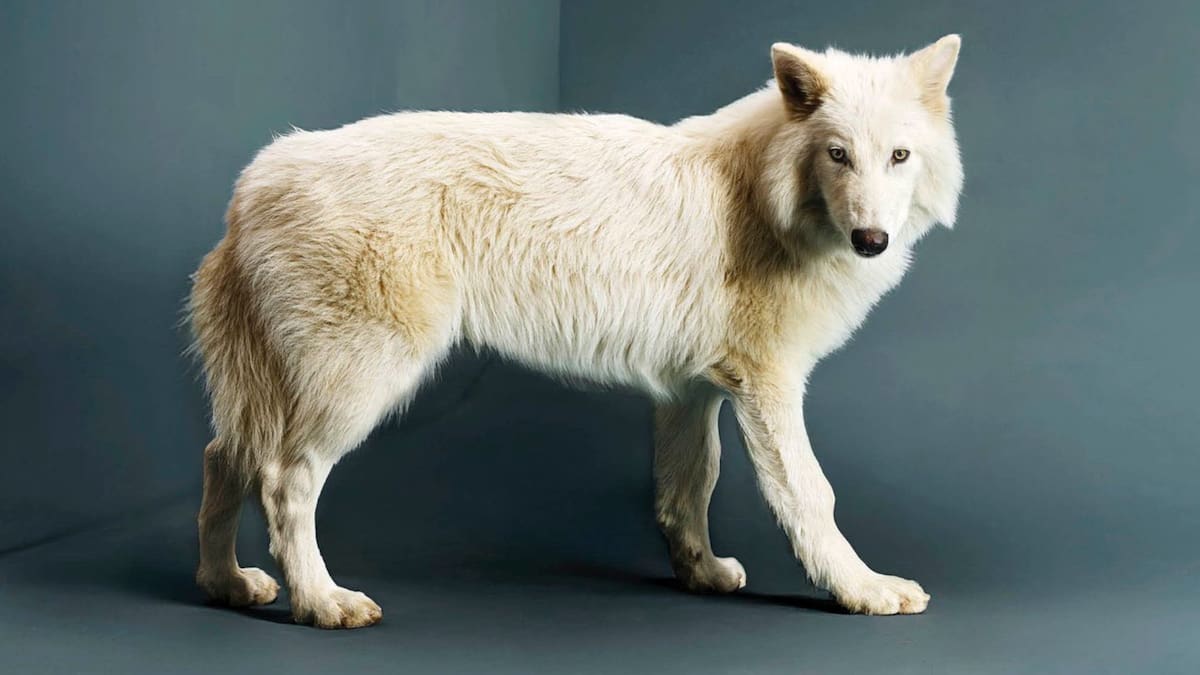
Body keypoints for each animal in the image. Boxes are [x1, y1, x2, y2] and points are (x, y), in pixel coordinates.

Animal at [189, 35, 963, 628]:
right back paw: (322, 602)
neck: (763, 197)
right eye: (837, 154)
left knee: (222, 457)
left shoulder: (691, 393)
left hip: (273, 391)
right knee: (283, 480)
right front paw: (864, 590)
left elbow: (689, 489)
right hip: (358, 385)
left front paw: (703, 574)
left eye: (898, 156)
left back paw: (226, 584)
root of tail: (252, 182)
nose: (871, 240)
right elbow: (811, 495)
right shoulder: (767, 386)